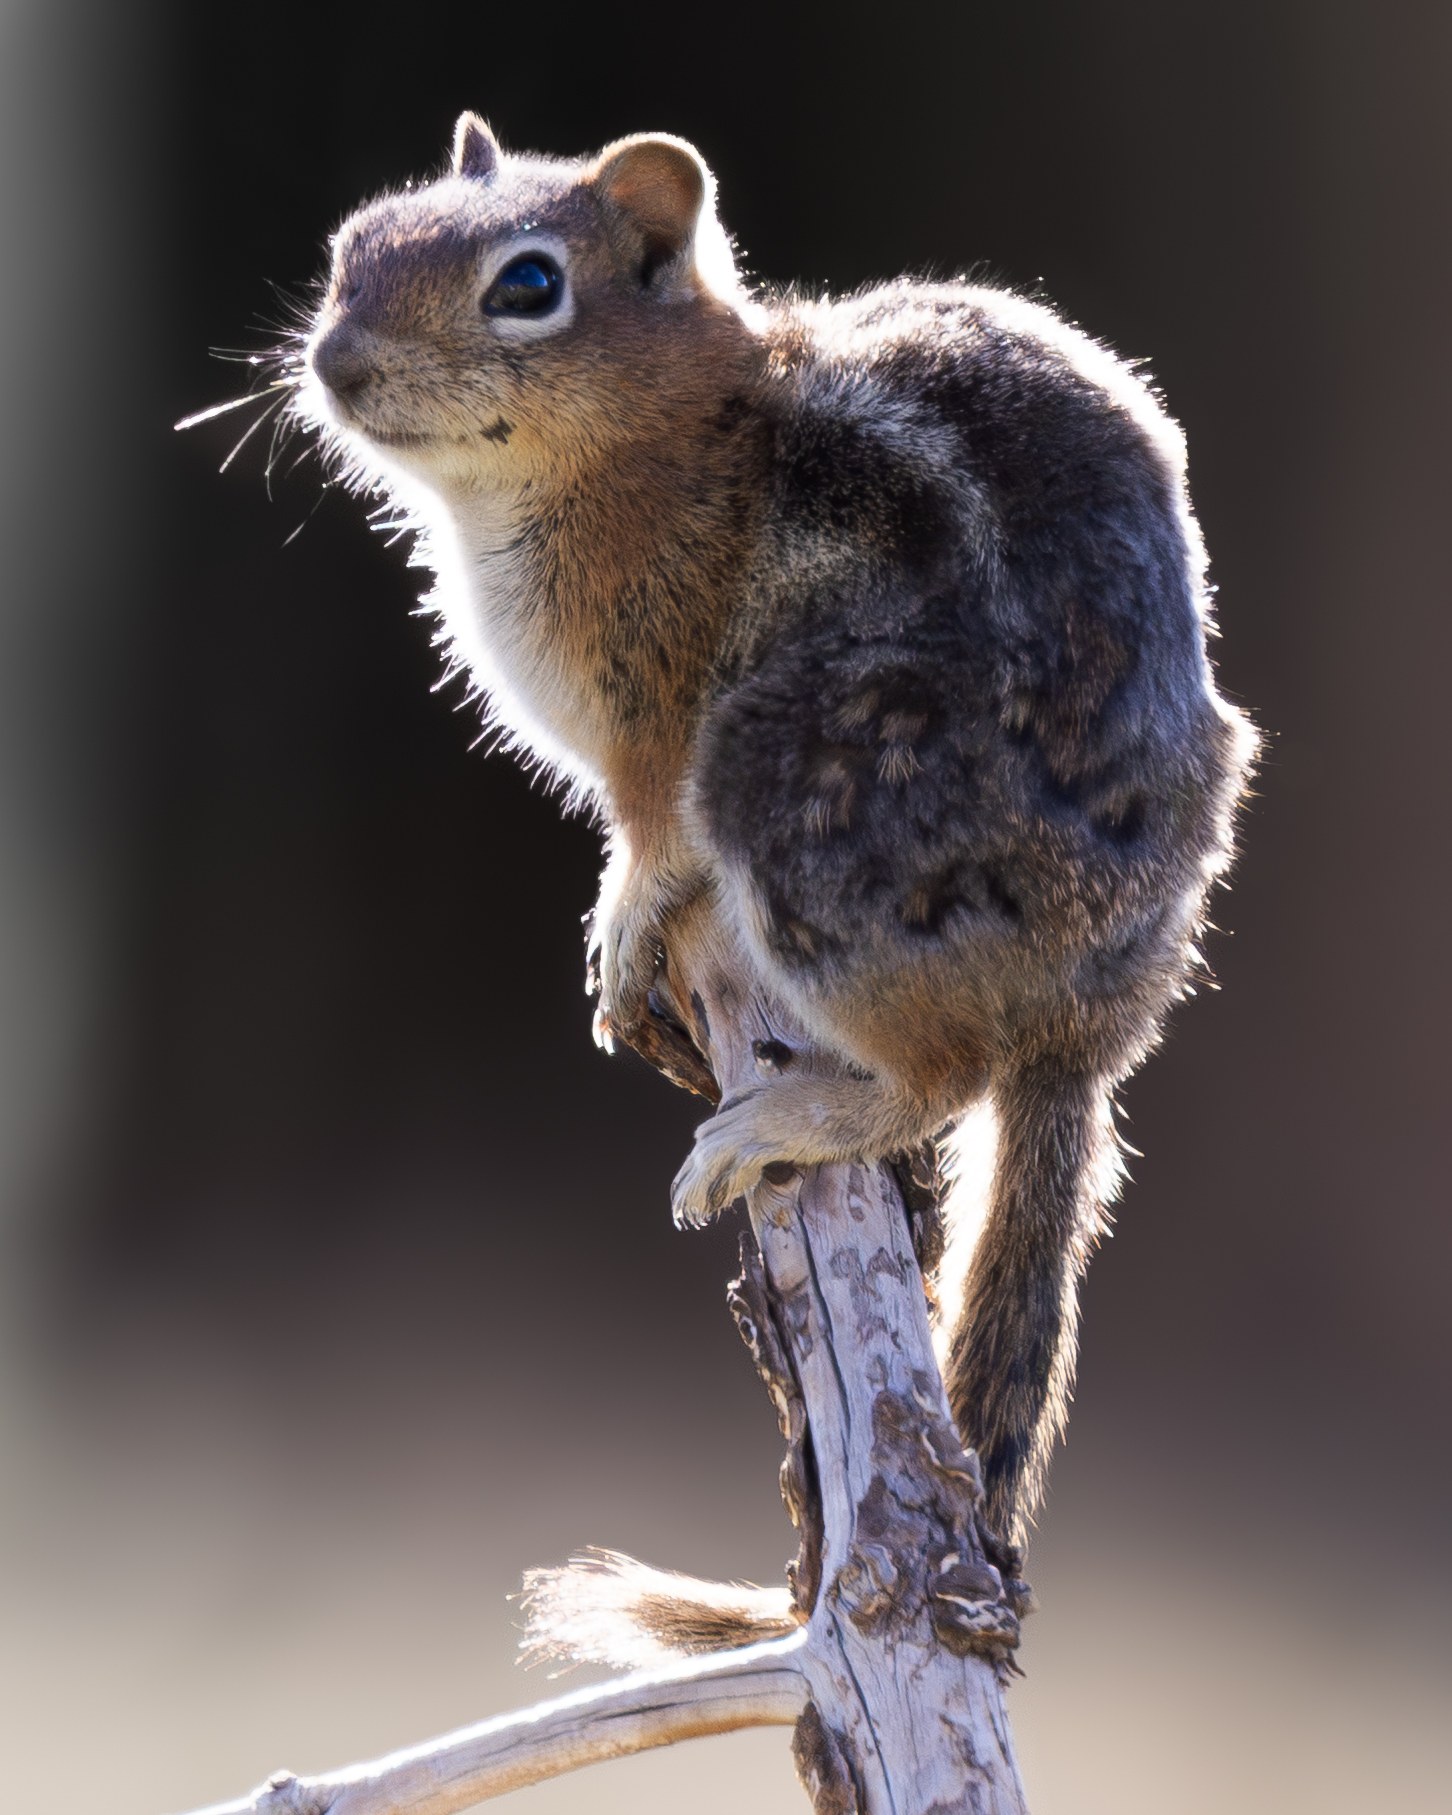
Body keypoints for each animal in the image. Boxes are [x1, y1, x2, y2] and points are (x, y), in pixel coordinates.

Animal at [292, 114, 1256, 1656]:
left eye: (527, 286)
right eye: (355, 244)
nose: (332, 362)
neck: (673, 431)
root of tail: (1099, 1017)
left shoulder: (657, 723)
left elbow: (651, 849)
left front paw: (623, 928)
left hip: (787, 778)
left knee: (942, 1073)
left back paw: (795, 1115)